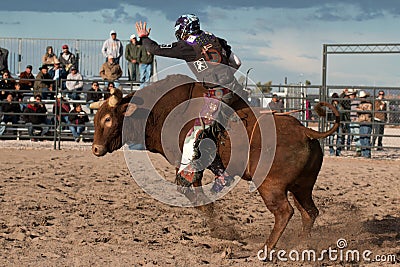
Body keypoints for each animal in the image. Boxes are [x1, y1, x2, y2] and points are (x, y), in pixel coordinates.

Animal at [92, 75, 340, 251]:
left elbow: (192, 194)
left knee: (284, 212)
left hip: (271, 185)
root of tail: (306, 131)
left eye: (108, 119)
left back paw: (267, 248)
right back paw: (301, 244)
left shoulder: (189, 164)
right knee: (309, 212)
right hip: (302, 186)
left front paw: (220, 229)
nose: (95, 148)